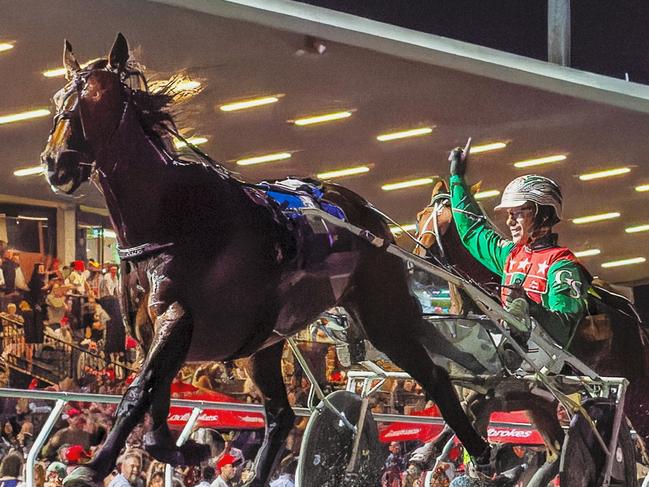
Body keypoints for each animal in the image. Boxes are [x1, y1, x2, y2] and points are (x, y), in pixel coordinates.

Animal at [41, 33, 492, 484]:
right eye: (59, 97)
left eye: (95, 99)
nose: (56, 163)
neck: (171, 215)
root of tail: (369, 216)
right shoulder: (155, 334)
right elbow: (154, 397)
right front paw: (177, 449)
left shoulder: (179, 319)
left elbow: (139, 393)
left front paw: (95, 466)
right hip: (265, 344)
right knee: (280, 414)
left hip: (382, 315)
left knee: (433, 375)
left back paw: (480, 452)